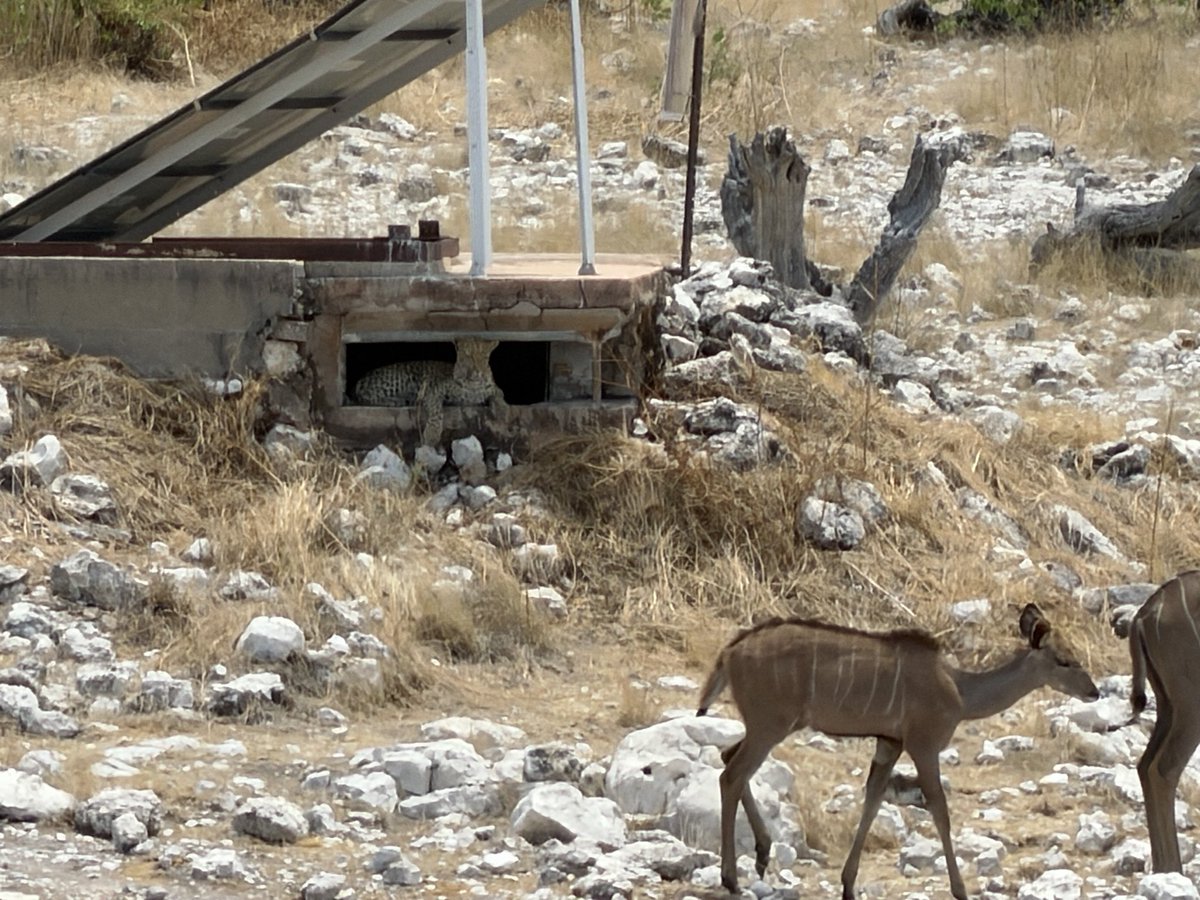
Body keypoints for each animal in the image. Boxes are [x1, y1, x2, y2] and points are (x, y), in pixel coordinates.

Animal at [352, 338, 509, 446]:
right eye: (467, 355)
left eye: (484, 357)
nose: (477, 372)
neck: (473, 384)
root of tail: (362, 379)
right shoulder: (433, 391)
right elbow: (436, 411)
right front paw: (432, 435)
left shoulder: (493, 388)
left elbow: (499, 394)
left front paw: (503, 410)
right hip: (398, 380)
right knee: (366, 397)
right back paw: (395, 401)